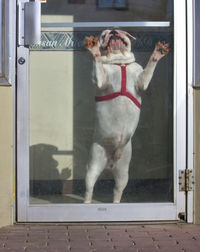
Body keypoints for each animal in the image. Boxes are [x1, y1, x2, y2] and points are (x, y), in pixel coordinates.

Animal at [83, 29, 170, 204]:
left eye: (122, 32)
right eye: (103, 35)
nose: (113, 31)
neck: (119, 62)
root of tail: (109, 163)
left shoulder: (141, 80)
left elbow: (148, 70)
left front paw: (157, 54)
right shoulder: (101, 80)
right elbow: (98, 66)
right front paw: (95, 51)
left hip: (123, 172)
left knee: (118, 189)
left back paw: (116, 203)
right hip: (93, 165)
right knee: (90, 187)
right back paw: (86, 202)